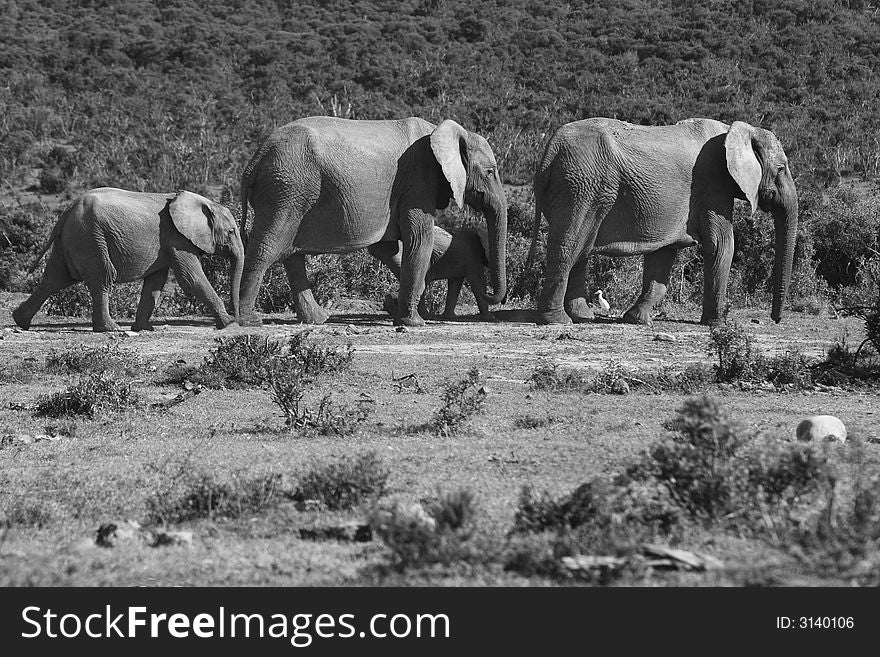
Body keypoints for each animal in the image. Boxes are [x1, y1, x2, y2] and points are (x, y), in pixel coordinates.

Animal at [13, 188, 246, 334]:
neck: (203, 202)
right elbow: (192, 278)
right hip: (90, 237)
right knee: (103, 277)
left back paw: (19, 321)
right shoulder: (179, 239)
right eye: (231, 232)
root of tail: (68, 209)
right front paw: (228, 324)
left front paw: (144, 329)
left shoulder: (167, 244)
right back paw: (110, 329)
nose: (239, 319)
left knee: (54, 279)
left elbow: (155, 283)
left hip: (72, 238)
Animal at [368, 226, 496, 320]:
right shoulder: (472, 258)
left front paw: (450, 317)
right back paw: (424, 316)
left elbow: (455, 283)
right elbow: (478, 281)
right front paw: (490, 317)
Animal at [524, 118, 800, 326]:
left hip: (579, 187)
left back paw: (583, 316)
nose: (775, 319)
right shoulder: (714, 184)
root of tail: (550, 149)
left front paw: (637, 320)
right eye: (781, 169)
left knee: (581, 247)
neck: (739, 130)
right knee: (570, 246)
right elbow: (722, 245)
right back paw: (558, 321)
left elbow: (663, 255)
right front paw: (718, 325)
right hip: (582, 186)